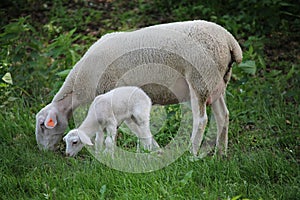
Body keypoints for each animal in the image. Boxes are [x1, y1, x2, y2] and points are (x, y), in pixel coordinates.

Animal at [35, 20, 243, 158]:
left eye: (43, 125)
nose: (43, 152)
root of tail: (229, 41)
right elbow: (139, 130)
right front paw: (151, 151)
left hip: (199, 78)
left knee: (200, 120)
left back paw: (191, 154)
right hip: (216, 82)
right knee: (223, 115)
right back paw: (220, 154)